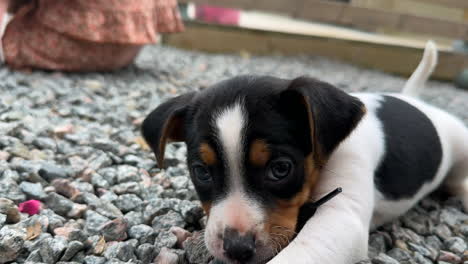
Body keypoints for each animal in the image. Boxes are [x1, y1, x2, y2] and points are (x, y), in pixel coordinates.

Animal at [142, 42, 468, 262]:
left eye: (281, 169)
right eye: (201, 171)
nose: (237, 250)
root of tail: (416, 101)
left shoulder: (340, 217)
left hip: (462, 144)